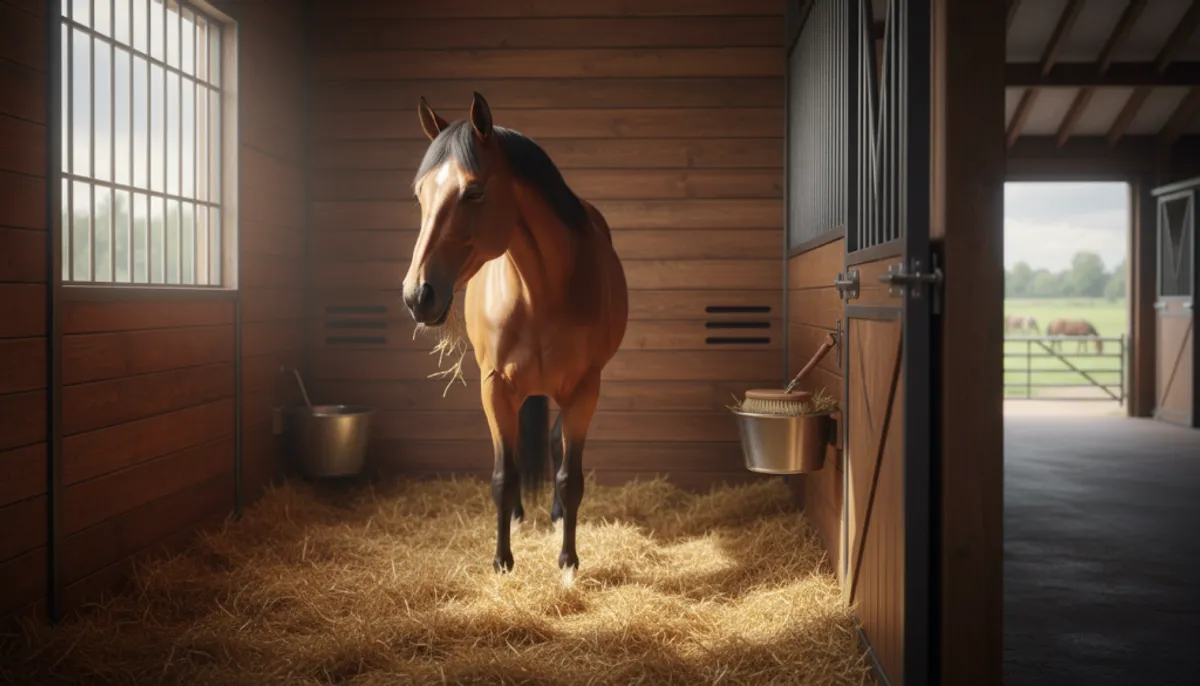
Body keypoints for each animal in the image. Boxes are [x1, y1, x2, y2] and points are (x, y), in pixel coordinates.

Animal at [402, 92, 629, 577]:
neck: (538, 290)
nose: (417, 295)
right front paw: (502, 560)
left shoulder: (585, 388)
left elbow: (570, 477)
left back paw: (556, 516)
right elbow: (503, 477)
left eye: (473, 191)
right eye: (420, 194)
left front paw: (568, 561)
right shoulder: (495, 387)